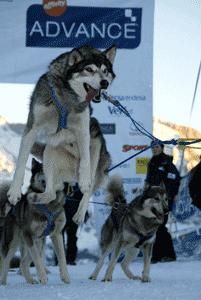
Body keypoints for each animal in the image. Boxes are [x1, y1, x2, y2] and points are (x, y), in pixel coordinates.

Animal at [7, 44, 116, 223]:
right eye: (89, 69)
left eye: (105, 71)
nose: (104, 83)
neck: (67, 97)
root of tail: (71, 178)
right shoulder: (32, 128)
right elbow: (21, 162)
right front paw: (15, 191)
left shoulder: (84, 128)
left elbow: (85, 160)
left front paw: (85, 180)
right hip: (50, 151)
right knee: (53, 191)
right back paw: (37, 197)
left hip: (97, 144)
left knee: (88, 188)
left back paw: (80, 212)